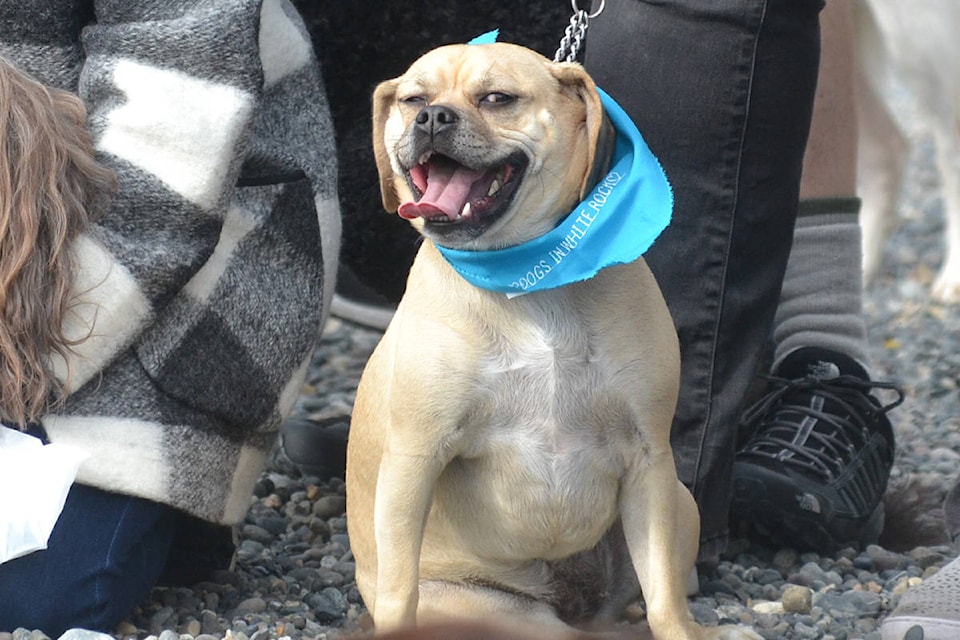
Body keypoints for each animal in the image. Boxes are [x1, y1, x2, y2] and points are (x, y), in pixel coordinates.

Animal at [344, 41, 756, 640]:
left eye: (497, 99)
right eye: (413, 100)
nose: (432, 117)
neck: (528, 279)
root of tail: (576, 609)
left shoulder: (649, 462)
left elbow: (664, 596)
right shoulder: (414, 458)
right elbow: (401, 587)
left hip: (681, 504)